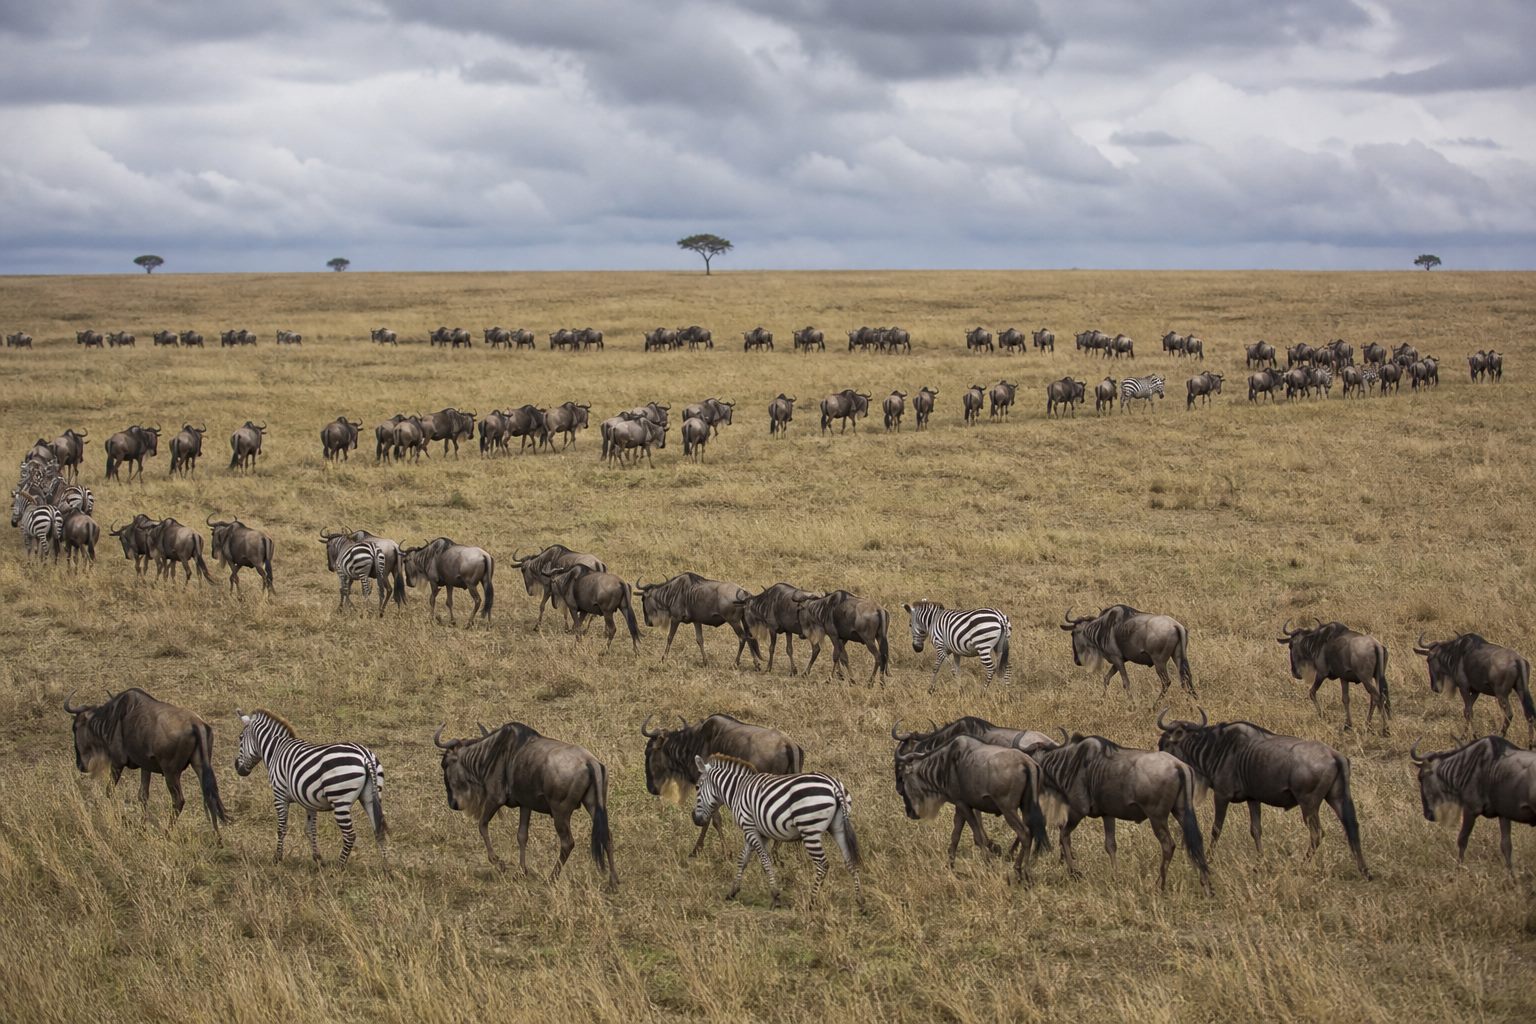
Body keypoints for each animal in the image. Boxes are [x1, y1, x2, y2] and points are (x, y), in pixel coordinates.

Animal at [234, 709, 388, 864]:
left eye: (240, 738)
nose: (237, 767)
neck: (276, 749)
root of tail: (365, 756)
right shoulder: (309, 801)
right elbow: (310, 829)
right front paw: (317, 858)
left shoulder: (279, 795)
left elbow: (281, 828)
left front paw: (277, 858)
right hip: (371, 797)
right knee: (379, 829)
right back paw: (385, 867)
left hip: (340, 799)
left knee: (350, 835)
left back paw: (339, 866)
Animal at [691, 754, 861, 908]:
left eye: (697, 787)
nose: (695, 819)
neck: (737, 791)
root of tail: (834, 785)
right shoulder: (756, 831)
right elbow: (742, 860)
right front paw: (732, 892)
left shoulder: (749, 828)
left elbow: (765, 861)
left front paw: (775, 896)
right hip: (839, 827)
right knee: (850, 860)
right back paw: (860, 903)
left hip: (809, 829)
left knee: (822, 864)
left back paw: (812, 902)